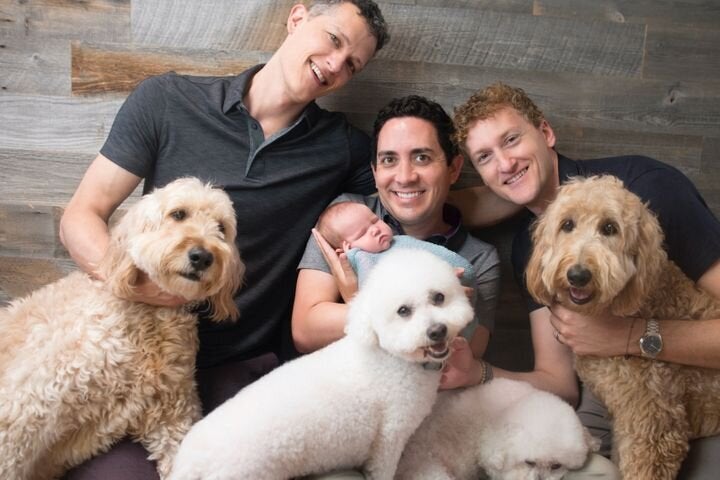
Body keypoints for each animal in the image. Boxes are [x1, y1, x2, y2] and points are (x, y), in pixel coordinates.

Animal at [0, 178, 243, 478]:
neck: (150, 318)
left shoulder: (171, 415)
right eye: (178, 214)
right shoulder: (28, 400)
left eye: (221, 228)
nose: (203, 256)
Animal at [167, 248, 472, 480]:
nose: (437, 331)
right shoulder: (389, 438)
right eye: (403, 311)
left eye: (439, 297)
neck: (393, 358)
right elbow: (382, 468)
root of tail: (191, 463)